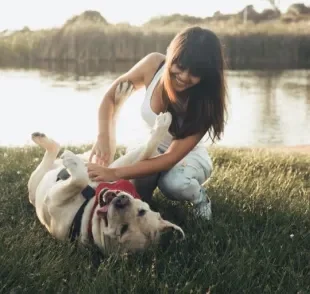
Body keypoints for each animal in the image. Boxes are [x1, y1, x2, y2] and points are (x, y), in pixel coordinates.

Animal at [27, 81, 184, 255]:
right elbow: (147, 150)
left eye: (123, 229)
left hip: (34, 184)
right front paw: (163, 124)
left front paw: (71, 161)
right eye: (142, 211)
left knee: (53, 153)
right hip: (108, 161)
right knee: (109, 139)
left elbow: (79, 180)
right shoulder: (122, 168)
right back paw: (122, 93)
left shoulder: (54, 200)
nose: (121, 201)